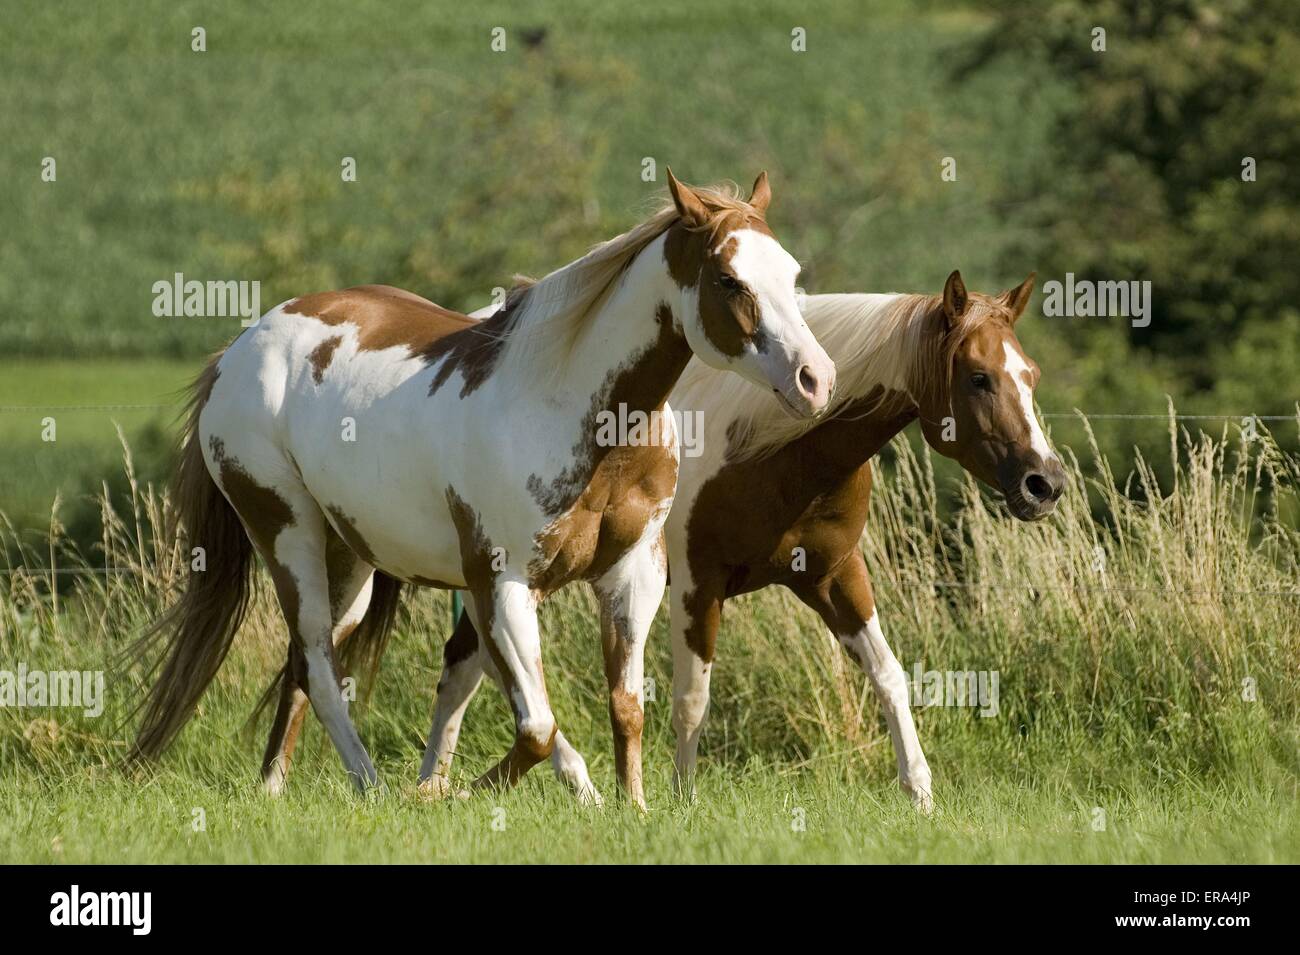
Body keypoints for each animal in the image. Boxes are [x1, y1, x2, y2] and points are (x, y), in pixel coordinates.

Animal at [129, 170, 832, 800]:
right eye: (728, 279)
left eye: (792, 273)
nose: (815, 380)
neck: (574, 411)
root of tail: (236, 352)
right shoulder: (503, 579)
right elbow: (537, 726)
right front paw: (451, 794)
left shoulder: (630, 574)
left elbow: (625, 706)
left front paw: (630, 809)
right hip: (287, 533)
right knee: (323, 672)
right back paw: (376, 789)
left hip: (349, 561)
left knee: (306, 662)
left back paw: (276, 788)